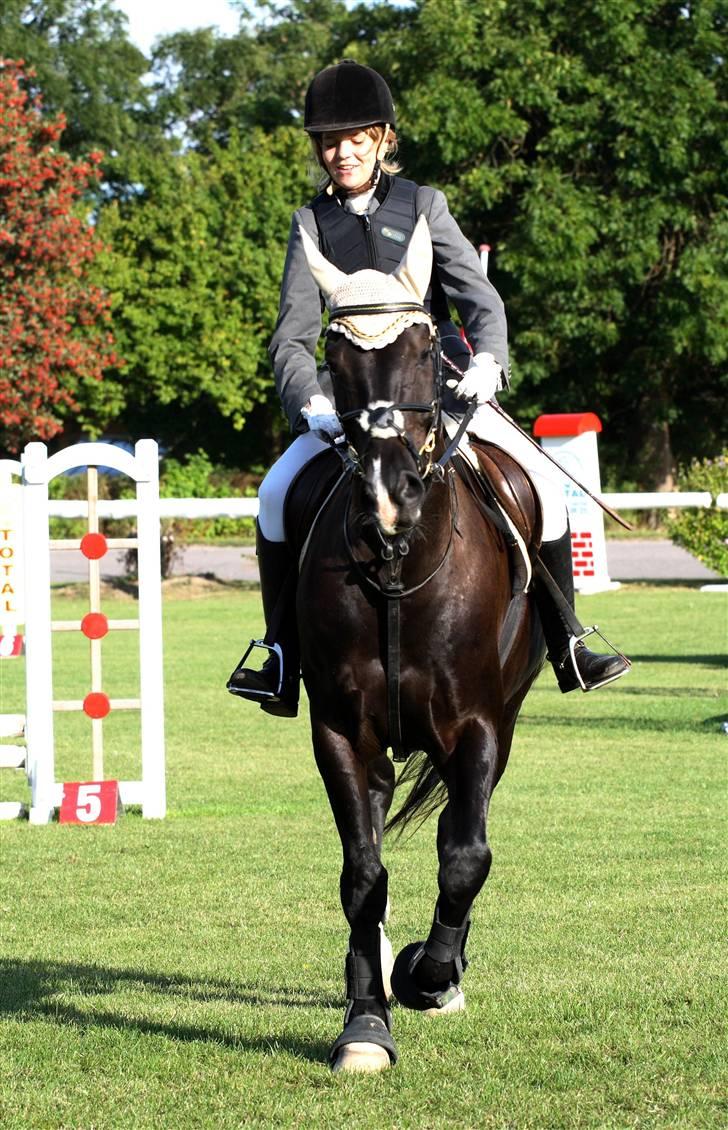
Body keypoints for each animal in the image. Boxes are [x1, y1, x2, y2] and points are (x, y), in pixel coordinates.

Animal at [286, 215, 547, 1071]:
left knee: (456, 838)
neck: (402, 560)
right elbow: (363, 874)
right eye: (334, 356)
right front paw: (367, 1021)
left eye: (430, 347)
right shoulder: (341, 730)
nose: (390, 495)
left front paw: (427, 976)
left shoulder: (479, 726)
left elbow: (466, 857)